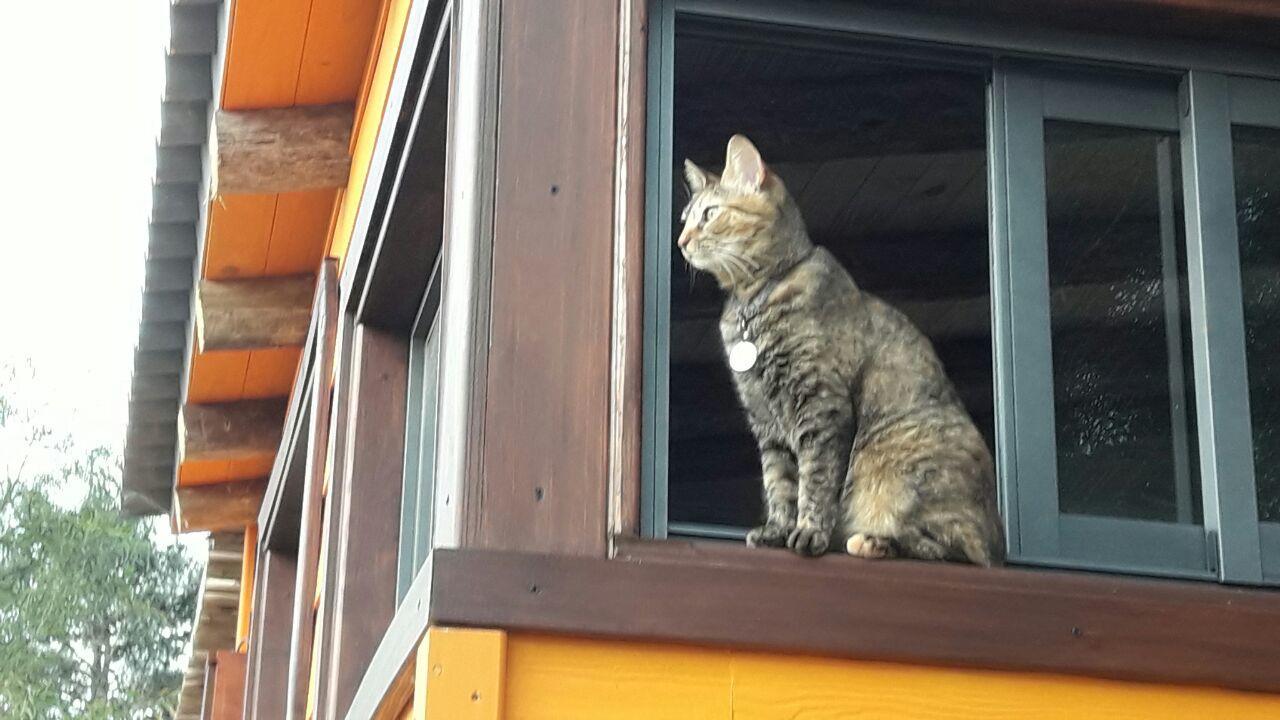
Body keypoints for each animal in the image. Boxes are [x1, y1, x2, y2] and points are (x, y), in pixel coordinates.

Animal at [675, 133, 1003, 561]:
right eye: (685, 219)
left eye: (710, 214)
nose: (681, 241)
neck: (753, 299)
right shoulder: (766, 423)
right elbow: (780, 484)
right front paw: (777, 530)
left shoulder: (820, 405)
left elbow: (816, 480)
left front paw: (809, 531)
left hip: (899, 458)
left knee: (954, 548)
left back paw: (874, 541)